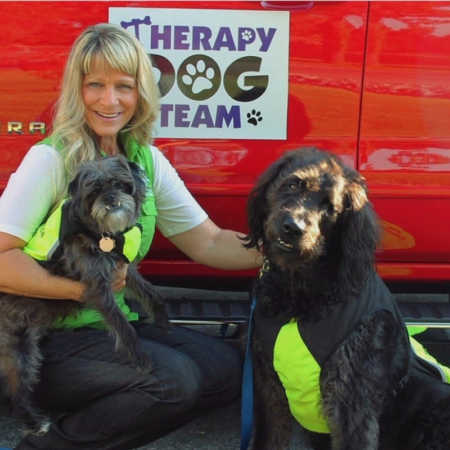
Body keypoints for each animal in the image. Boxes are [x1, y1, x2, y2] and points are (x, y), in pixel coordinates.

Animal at [0, 156, 168, 436]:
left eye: (119, 184)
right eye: (94, 191)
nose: (111, 198)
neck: (100, 232)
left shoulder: (122, 267)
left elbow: (148, 290)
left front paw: (162, 316)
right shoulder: (98, 287)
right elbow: (122, 325)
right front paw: (140, 356)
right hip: (17, 347)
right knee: (16, 390)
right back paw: (34, 422)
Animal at [244, 149, 448, 450]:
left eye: (330, 207)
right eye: (292, 184)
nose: (293, 228)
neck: (301, 296)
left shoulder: (351, 401)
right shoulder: (270, 390)